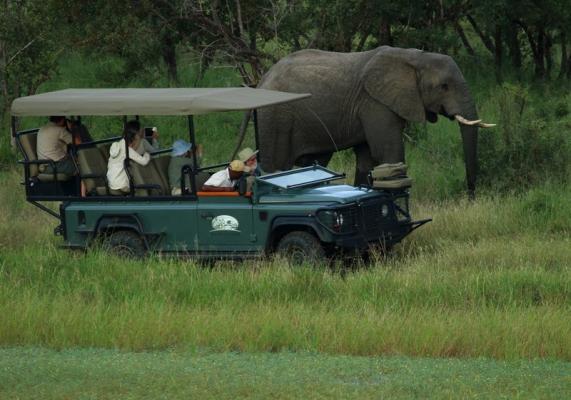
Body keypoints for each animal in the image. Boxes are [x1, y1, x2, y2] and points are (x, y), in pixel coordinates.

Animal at [255, 45, 496, 195]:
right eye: (444, 86)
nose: (471, 195)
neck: (415, 56)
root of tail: (262, 79)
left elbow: (367, 160)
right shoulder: (375, 103)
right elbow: (389, 154)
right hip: (275, 119)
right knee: (276, 166)